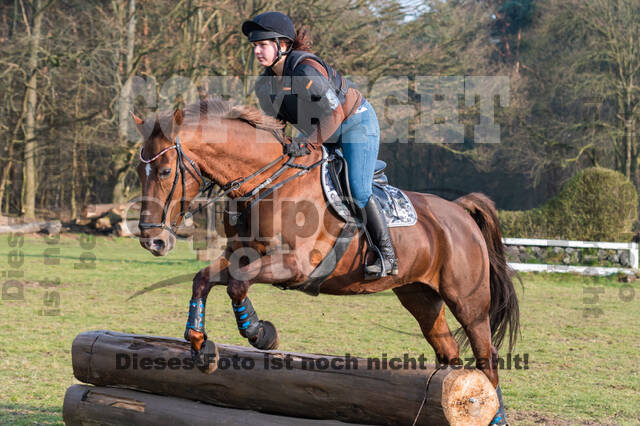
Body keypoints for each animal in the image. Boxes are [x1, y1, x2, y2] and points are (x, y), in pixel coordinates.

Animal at [132, 98, 516, 422]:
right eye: (139, 172)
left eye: (164, 171)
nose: (153, 240)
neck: (266, 182)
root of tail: (460, 211)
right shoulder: (241, 256)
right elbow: (203, 279)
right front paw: (200, 345)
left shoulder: (294, 266)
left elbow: (238, 286)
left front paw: (261, 333)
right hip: (420, 297)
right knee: (450, 353)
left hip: (467, 301)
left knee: (487, 357)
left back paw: (494, 415)